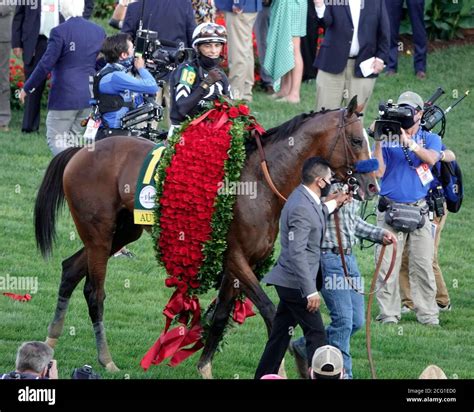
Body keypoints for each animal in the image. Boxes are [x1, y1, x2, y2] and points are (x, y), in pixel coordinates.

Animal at [34, 96, 378, 376]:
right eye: (357, 139)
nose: (373, 185)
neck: (256, 183)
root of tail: (81, 151)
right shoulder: (235, 257)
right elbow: (269, 311)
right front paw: (281, 363)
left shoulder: (244, 262)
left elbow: (222, 314)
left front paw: (204, 366)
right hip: (99, 233)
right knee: (95, 292)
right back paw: (105, 359)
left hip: (121, 233)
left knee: (70, 269)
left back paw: (50, 339)